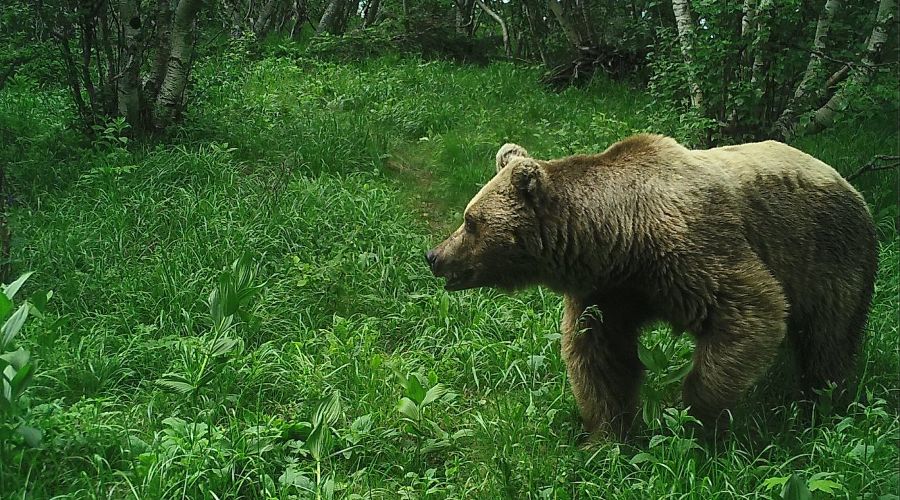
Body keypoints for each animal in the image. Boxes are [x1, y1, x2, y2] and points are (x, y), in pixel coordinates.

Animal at [426, 135, 876, 440]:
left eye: (470, 220)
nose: (435, 255)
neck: (622, 239)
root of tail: (850, 184)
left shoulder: (694, 251)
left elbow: (752, 308)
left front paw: (691, 417)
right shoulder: (611, 292)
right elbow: (599, 357)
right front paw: (606, 436)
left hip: (827, 256)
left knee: (828, 339)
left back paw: (821, 403)